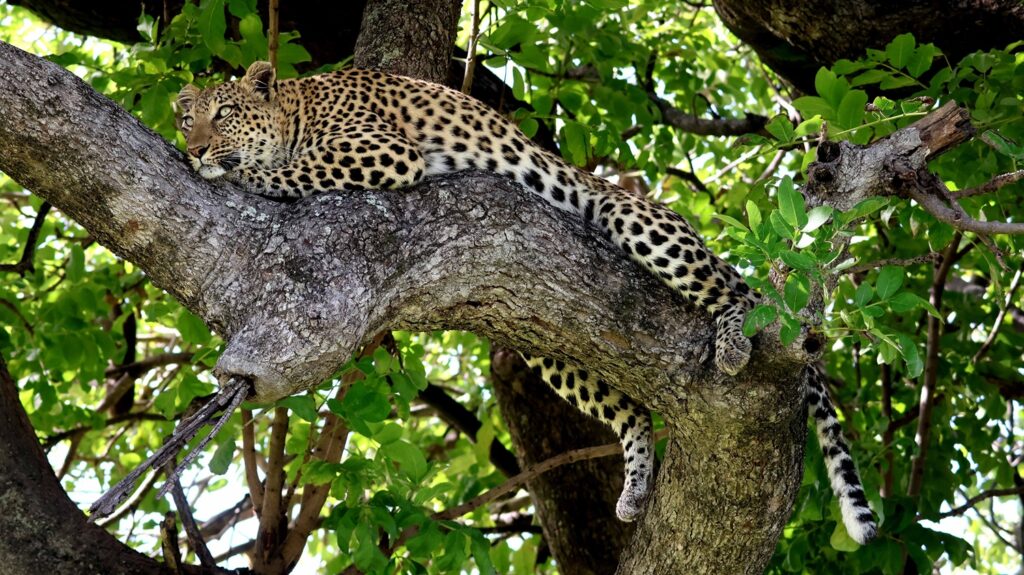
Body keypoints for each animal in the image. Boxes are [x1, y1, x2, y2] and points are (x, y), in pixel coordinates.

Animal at [176, 60, 876, 542]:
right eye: (188, 117)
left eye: (225, 113)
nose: (194, 147)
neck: (297, 107)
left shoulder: (386, 151)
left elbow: (286, 171)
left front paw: (242, 171)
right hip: (548, 343)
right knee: (632, 412)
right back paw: (634, 487)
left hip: (640, 222)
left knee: (742, 295)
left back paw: (734, 340)